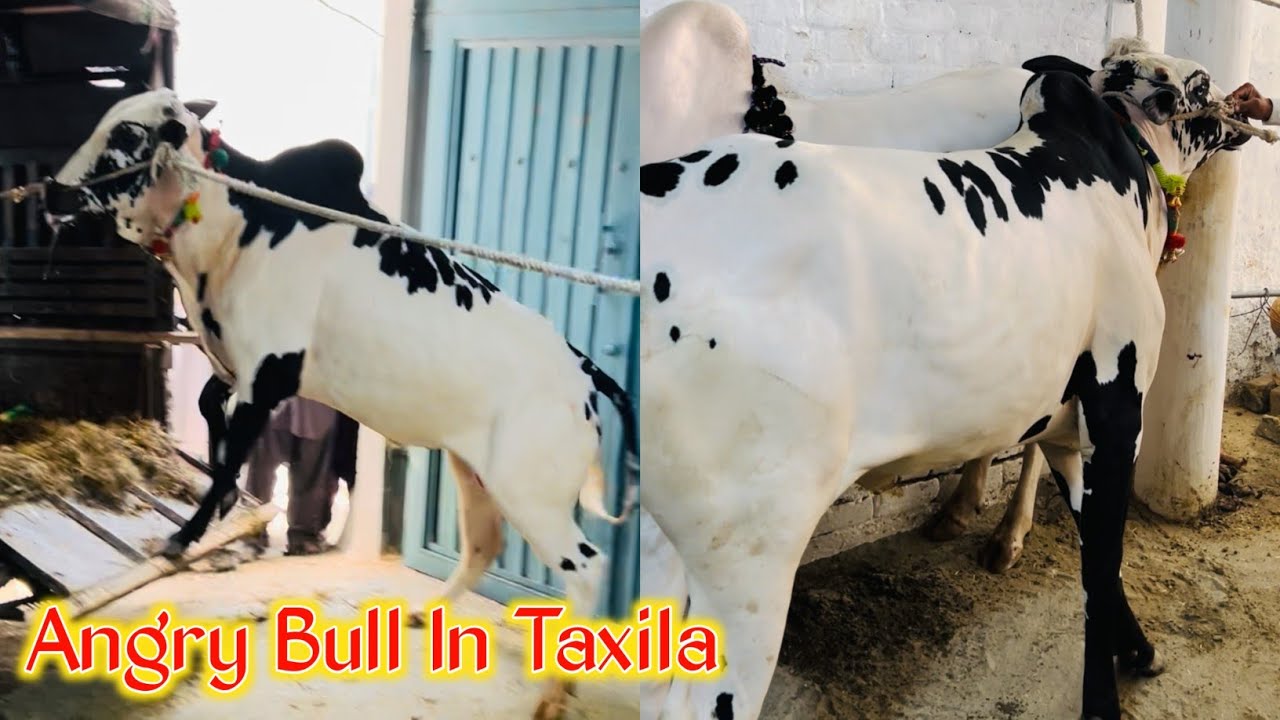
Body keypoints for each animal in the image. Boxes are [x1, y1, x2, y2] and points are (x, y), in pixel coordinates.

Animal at [50, 89, 637, 720]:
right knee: (485, 543)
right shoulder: (239, 369)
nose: (57, 190)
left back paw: (554, 692)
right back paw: (428, 615)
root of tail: (583, 368)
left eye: (128, 133)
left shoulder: (271, 373)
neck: (237, 230)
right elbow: (211, 412)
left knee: (588, 566)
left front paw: (185, 536)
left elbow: (231, 456)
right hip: (476, 469)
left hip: (532, 492)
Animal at [640, 37, 1258, 720]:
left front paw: (1138, 649)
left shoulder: (1066, 420)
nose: (1245, 99)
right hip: (750, 551)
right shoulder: (1117, 405)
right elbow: (1100, 561)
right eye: (1200, 83)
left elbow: (1094, 550)